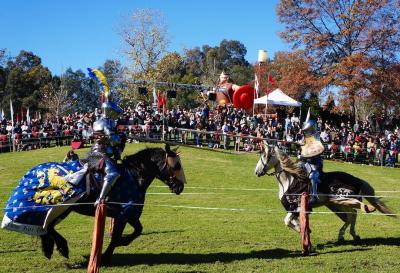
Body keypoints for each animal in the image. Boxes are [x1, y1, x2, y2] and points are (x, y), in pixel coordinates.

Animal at [1, 143, 186, 262]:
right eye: (176, 166)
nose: (180, 187)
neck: (135, 175)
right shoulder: (124, 214)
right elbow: (121, 235)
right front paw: (107, 254)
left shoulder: (129, 215)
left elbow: (137, 230)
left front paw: (118, 245)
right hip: (63, 207)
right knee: (48, 226)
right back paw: (60, 247)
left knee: (48, 226)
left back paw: (56, 248)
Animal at [255, 143, 396, 241]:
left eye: (265, 156)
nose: (257, 172)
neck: (290, 181)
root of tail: (358, 179)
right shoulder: (293, 208)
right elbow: (291, 221)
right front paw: (305, 230)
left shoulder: (297, 206)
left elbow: (287, 221)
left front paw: (303, 231)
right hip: (336, 205)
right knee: (350, 216)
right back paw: (349, 235)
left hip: (342, 200)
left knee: (353, 214)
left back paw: (351, 229)